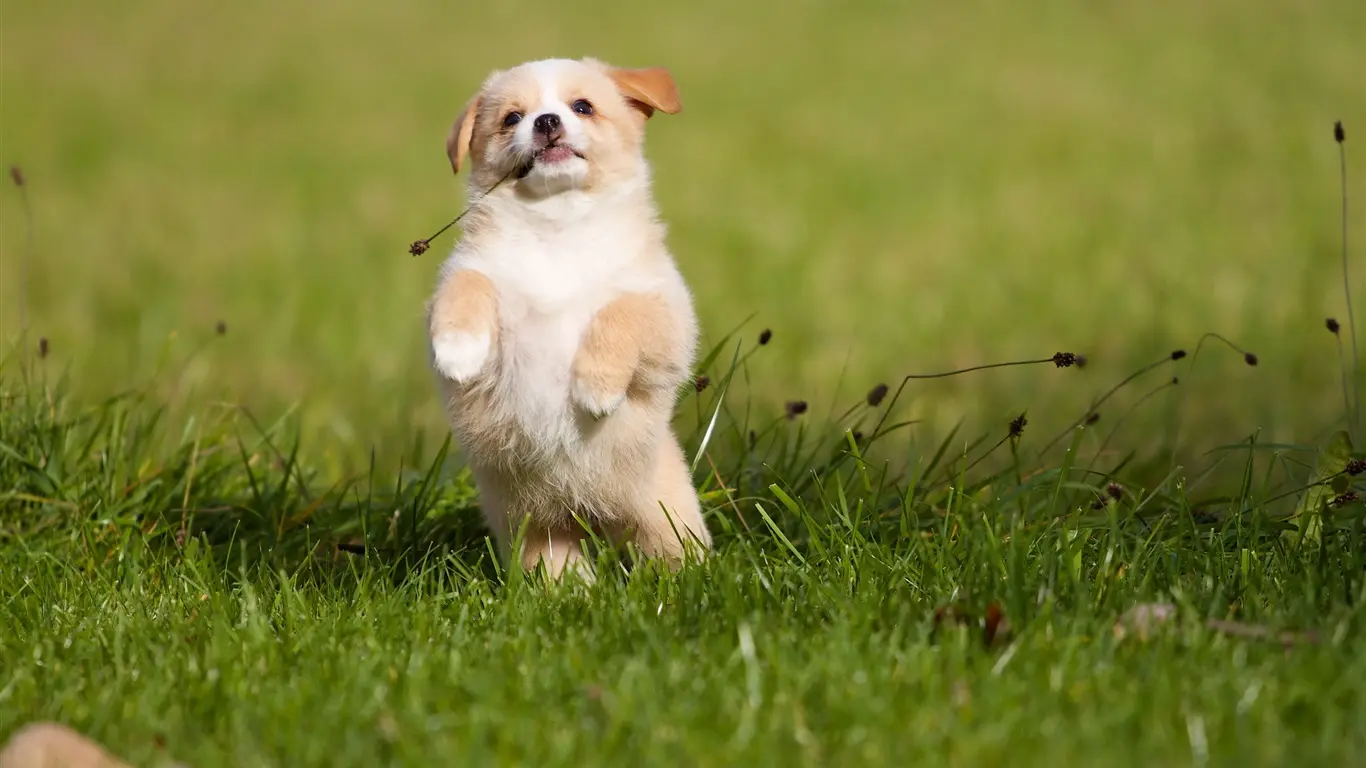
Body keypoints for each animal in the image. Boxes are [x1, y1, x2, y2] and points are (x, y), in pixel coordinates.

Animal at [426, 56, 710, 576]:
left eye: (583, 107)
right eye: (512, 118)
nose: (546, 121)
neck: (557, 227)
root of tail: (591, 513)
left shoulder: (666, 312)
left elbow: (620, 311)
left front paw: (594, 389)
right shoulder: (474, 273)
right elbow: (467, 284)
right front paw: (457, 351)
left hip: (664, 516)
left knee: (673, 551)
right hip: (535, 527)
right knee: (557, 565)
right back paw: (571, 591)